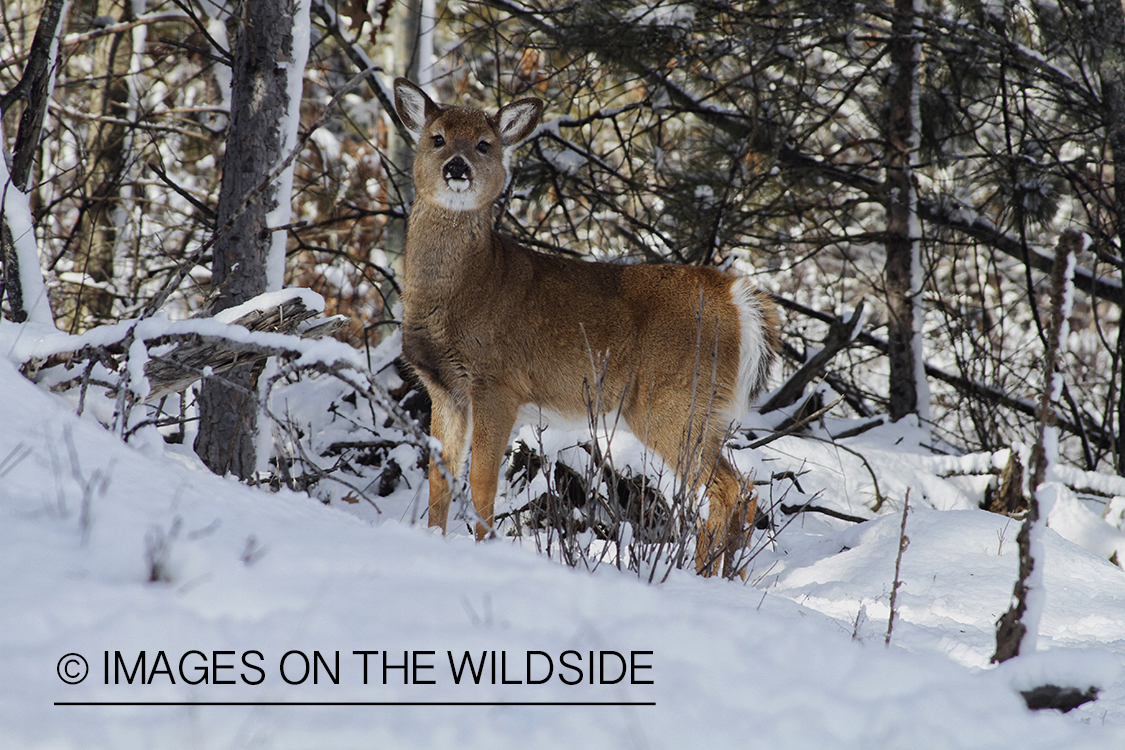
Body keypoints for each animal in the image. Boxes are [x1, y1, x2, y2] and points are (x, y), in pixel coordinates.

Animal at [391, 79, 778, 580]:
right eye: (436, 138)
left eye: (484, 144)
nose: (457, 166)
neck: (467, 287)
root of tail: (737, 299)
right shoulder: (444, 389)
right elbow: (440, 481)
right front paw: (435, 544)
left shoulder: (497, 383)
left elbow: (480, 485)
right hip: (704, 411)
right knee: (746, 490)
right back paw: (729, 578)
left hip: (673, 401)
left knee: (728, 489)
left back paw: (700, 575)